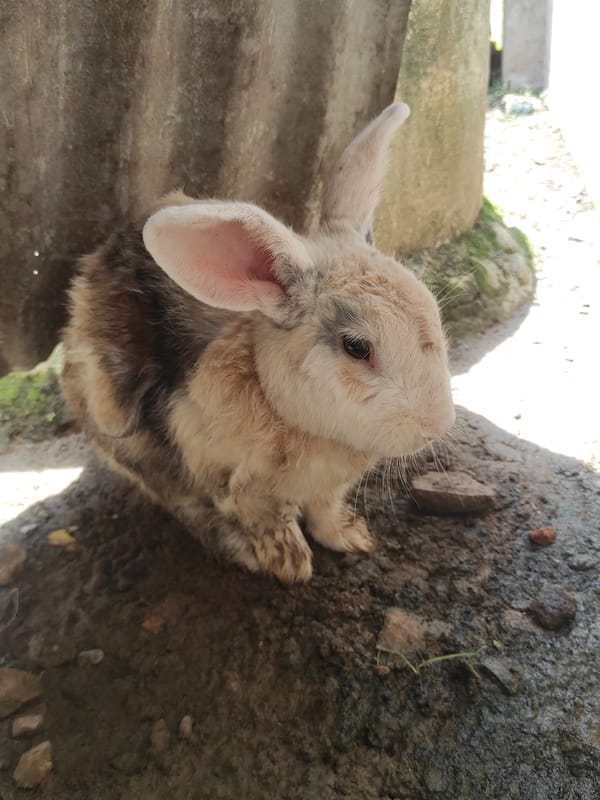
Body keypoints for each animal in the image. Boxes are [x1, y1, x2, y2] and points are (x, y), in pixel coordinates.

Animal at [61, 102, 455, 583]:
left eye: (433, 309)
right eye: (357, 347)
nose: (437, 424)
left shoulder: (330, 488)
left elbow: (324, 511)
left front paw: (352, 538)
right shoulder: (235, 483)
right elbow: (268, 520)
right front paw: (289, 564)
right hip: (117, 418)